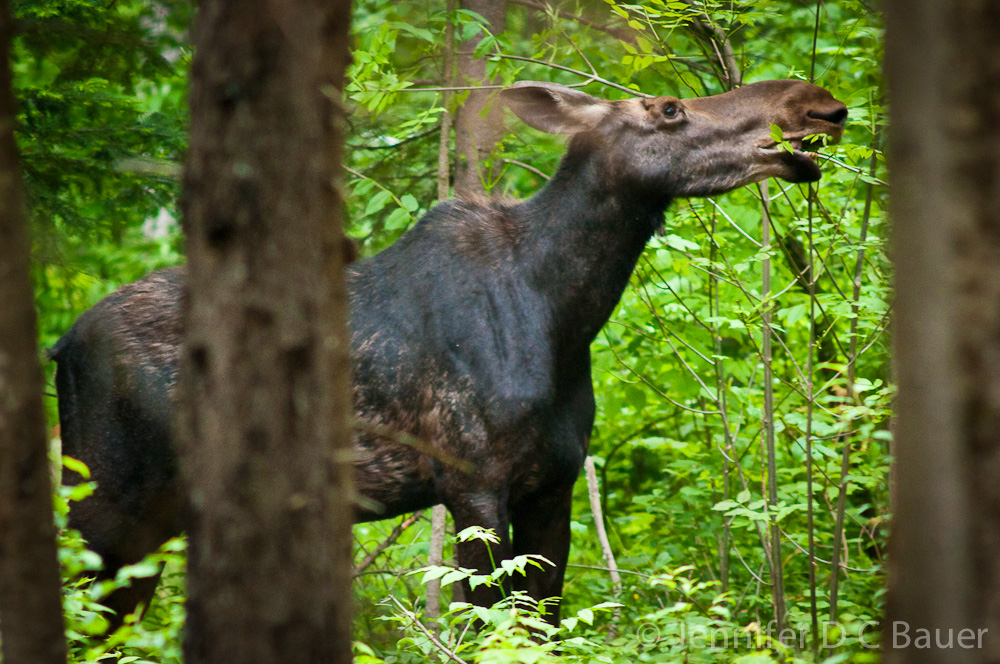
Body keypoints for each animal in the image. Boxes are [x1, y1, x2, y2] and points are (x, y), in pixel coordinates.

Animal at [52, 78, 844, 628]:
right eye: (670, 108)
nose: (816, 106)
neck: (564, 313)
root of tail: (59, 345)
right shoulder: (472, 482)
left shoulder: (553, 485)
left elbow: (543, 622)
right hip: (103, 507)